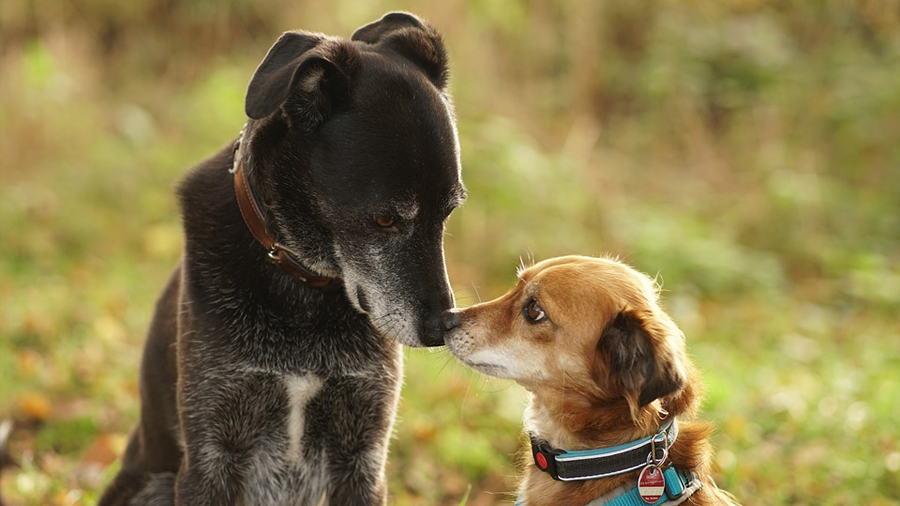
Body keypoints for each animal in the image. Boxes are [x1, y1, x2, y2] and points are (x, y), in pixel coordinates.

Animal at [98, 12, 464, 506]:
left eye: (448, 212)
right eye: (385, 219)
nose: (440, 330)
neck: (304, 284)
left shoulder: (361, 453)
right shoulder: (211, 454)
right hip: (152, 483)